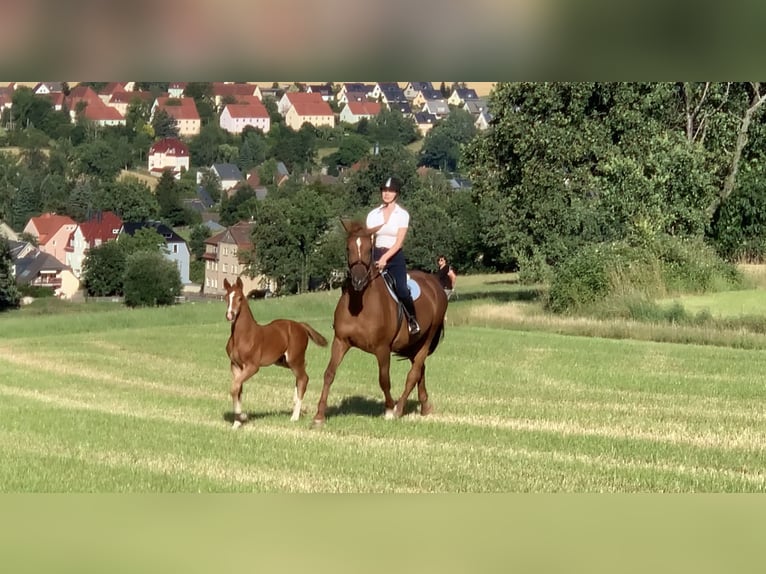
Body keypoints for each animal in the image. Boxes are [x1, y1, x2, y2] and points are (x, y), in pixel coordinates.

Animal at [224, 276, 328, 430]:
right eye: (226, 297)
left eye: (240, 298)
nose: (230, 315)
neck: (244, 335)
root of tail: (301, 325)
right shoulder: (235, 366)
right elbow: (237, 390)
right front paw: (237, 423)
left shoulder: (252, 366)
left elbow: (234, 387)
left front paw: (241, 417)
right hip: (284, 361)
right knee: (301, 374)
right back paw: (294, 404)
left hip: (294, 359)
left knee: (304, 378)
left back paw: (294, 417)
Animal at [310, 220, 448, 428]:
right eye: (348, 248)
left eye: (369, 249)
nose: (358, 280)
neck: (360, 303)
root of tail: (435, 284)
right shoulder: (340, 341)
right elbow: (329, 374)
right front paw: (319, 416)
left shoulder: (382, 348)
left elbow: (384, 379)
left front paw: (389, 410)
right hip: (412, 344)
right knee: (420, 370)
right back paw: (424, 406)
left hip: (427, 338)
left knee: (414, 373)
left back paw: (399, 408)